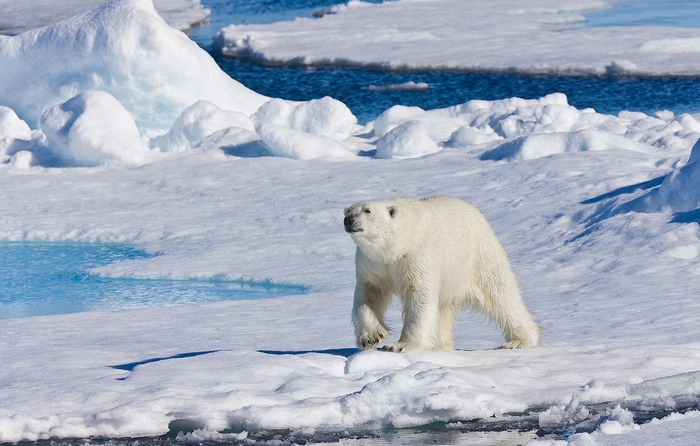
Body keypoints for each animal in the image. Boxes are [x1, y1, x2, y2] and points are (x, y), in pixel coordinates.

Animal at [344, 195, 540, 352]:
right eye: (348, 210)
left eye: (367, 210)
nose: (348, 220)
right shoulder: (372, 264)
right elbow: (368, 295)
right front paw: (371, 337)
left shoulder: (418, 255)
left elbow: (419, 297)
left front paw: (399, 345)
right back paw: (441, 345)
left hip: (477, 256)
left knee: (500, 294)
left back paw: (518, 341)